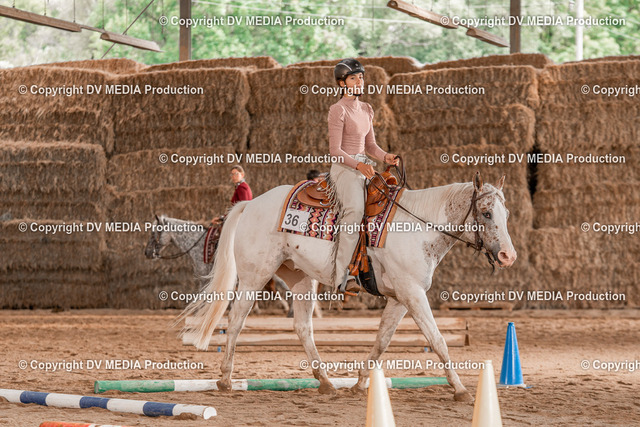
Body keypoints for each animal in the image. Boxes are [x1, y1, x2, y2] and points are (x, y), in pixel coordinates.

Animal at [181, 172, 517, 401]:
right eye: (486, 213)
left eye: (507, 213)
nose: (508, 256)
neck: (418, 227)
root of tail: (250, 205)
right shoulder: (413, 294)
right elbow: (438, 341)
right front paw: (460, 389)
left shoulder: (400, 298)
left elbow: (381, 341)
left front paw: (359, 383)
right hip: (255, 276)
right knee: (236, 320)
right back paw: (225, 379)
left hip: (302, 279)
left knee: (303, 327)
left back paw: (326, 382)